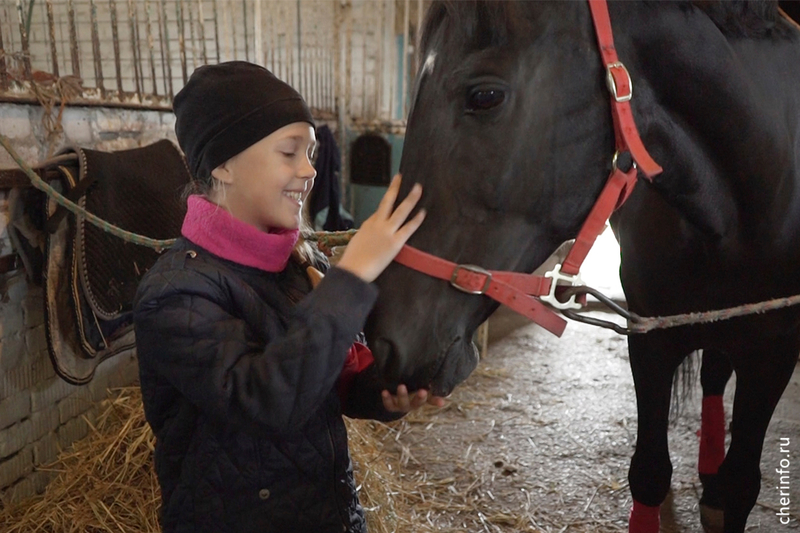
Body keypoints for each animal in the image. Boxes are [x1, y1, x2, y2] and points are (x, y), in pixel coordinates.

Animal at [366, 2, 800, 528]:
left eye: (485, 96)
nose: (383, 341)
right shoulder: (650, 336)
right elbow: (649, 473)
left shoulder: (774, 351)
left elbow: (737, 490)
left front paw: (721, 491)